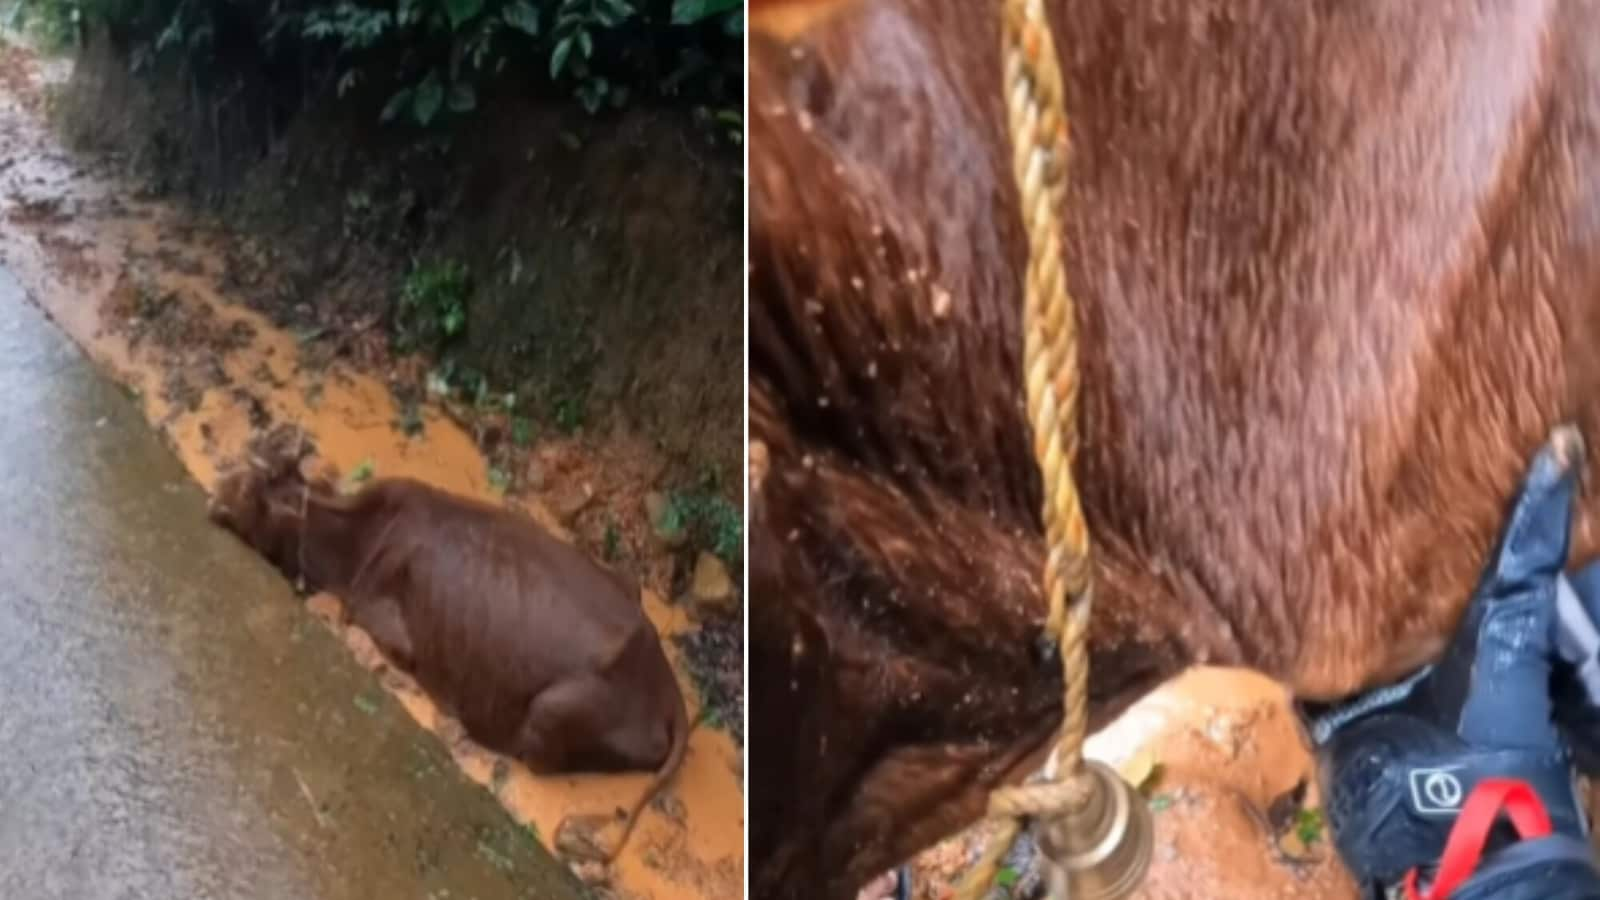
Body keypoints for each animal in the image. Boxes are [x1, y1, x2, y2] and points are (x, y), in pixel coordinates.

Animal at [206, 432, 688, 851]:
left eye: (248, 488)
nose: (213, 498)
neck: (358, 539)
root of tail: (664, 684)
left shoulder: (384, 622)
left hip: (551, 712)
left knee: (535, 756)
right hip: (627, 587)